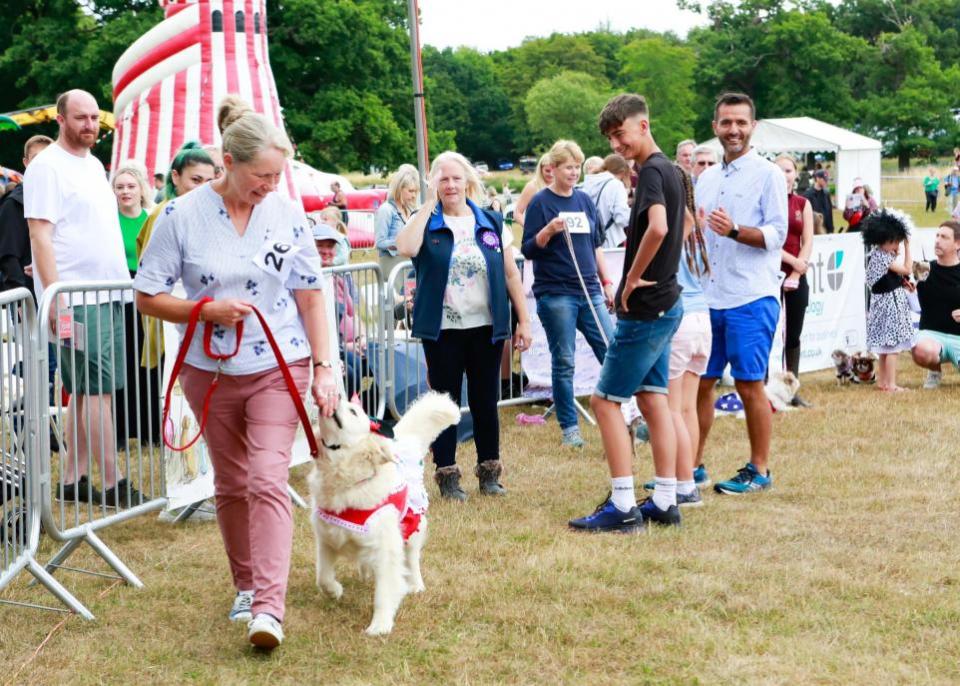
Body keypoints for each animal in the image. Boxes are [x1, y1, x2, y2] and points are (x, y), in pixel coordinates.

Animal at [308, 396, 458, 636]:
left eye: (353, 411)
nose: (334, 397)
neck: (347, 483)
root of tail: (402, 440)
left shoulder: (386, 548)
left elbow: (384, 592)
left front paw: (380, 625)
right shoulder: (328, 538)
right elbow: (322, 576)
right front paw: (335, 591)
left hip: (412, 527)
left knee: (412, 558)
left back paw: (416, 585)